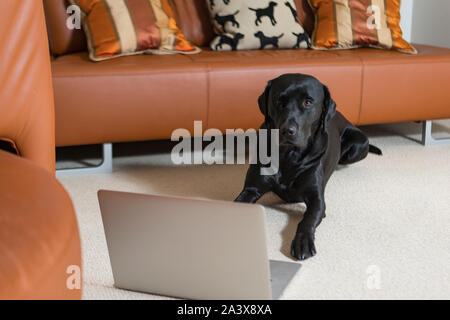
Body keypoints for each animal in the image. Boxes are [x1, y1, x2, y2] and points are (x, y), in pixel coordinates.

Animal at [236, 74, 380, 260]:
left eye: (308, 102)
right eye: (279, 101)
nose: (287, 131)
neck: (288, 156)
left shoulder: (317, 200)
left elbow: (306, 220)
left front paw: (303, 242)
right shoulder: (251, 189)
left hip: (358, 143)